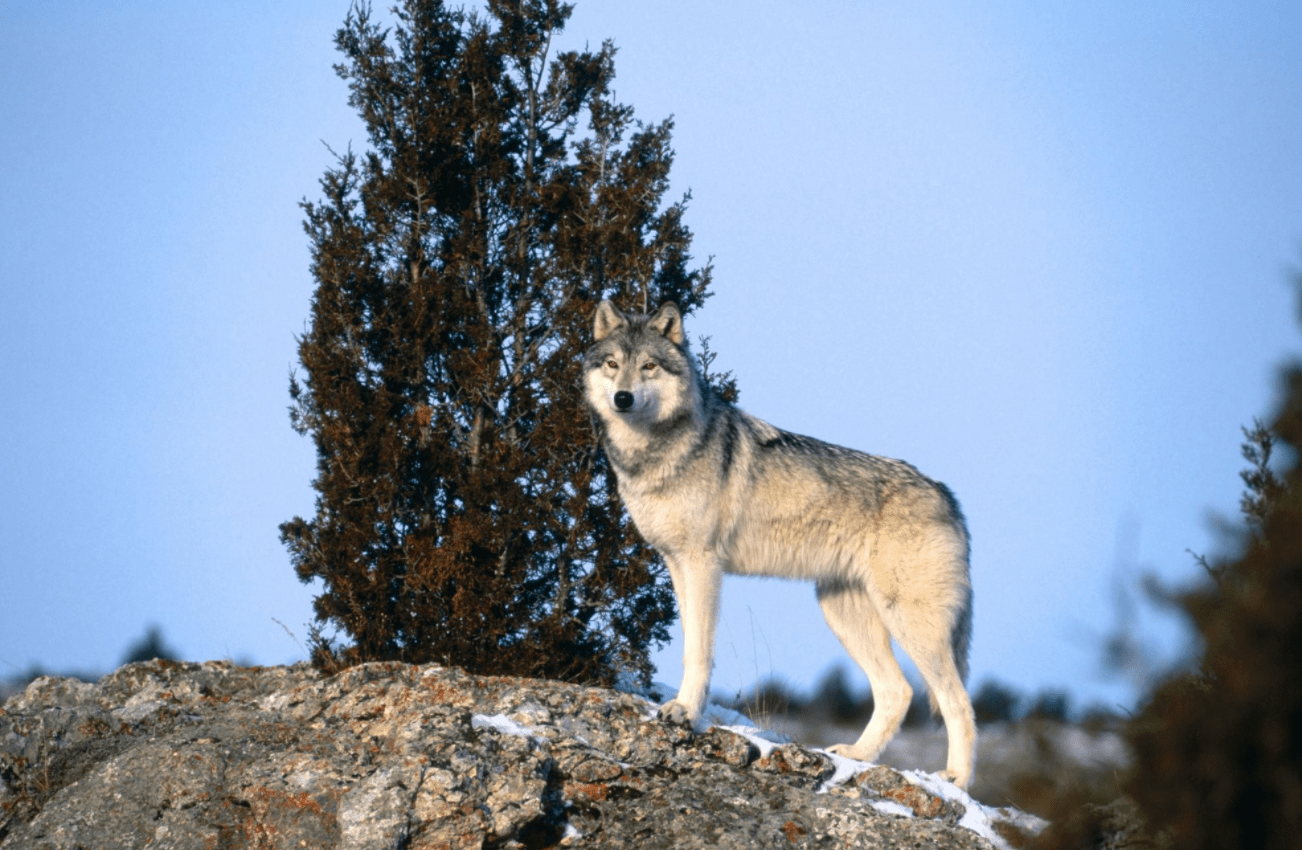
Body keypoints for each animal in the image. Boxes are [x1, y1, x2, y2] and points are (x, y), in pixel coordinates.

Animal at [583, 299, 979, 791]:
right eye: (613, 364)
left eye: (649, 366)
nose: (622, 398)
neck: (655, 452)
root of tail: (948, 495)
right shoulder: (676, 564)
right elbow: (689, 644)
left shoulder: (703, 564)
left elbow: (699, 651)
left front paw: (685, 714)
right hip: (842, 612)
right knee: (898, 691)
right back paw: (857, 756)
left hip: (909, 621)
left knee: (958, 701)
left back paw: (956, 780)